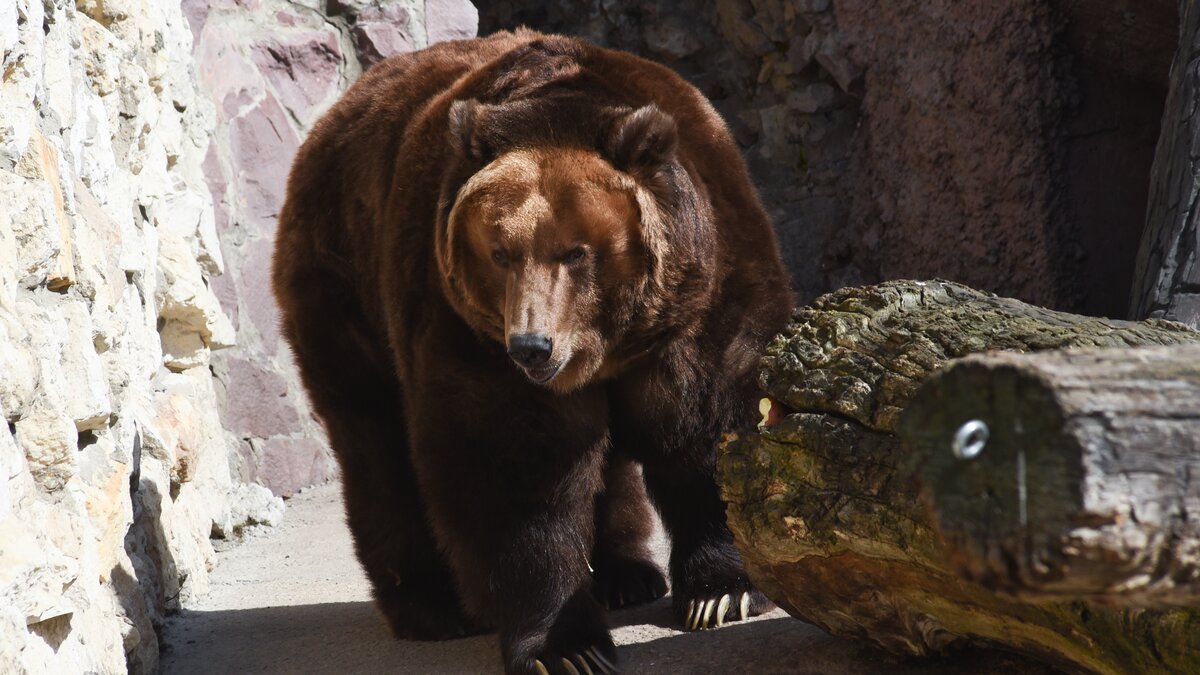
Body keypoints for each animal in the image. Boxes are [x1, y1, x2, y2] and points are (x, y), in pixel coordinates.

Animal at [273, 28, 796, 667]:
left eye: (576, 251)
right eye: (500, 252)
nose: (532, 347)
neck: (609, 343)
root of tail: (332, 118)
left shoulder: (698, 297)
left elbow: (705, 423)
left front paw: (722, 594)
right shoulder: (465, 325)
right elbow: (519, 472)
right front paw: (566, 646)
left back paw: (627, 574)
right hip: (347, 285)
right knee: (375, 442)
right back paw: (433, 608)